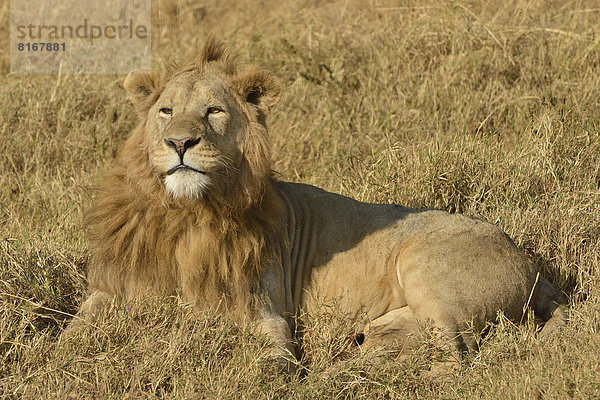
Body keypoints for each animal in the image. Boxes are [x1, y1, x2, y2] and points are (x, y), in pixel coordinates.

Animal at [68, 39, 568, 370]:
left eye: (214, 112)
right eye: (166, 111)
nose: (179, 143)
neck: (189, 213)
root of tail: (532, 264)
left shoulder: (266, 315)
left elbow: (272, 362)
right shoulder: (117, 288)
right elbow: (72, 332)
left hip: (425, 262)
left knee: (456, 352)